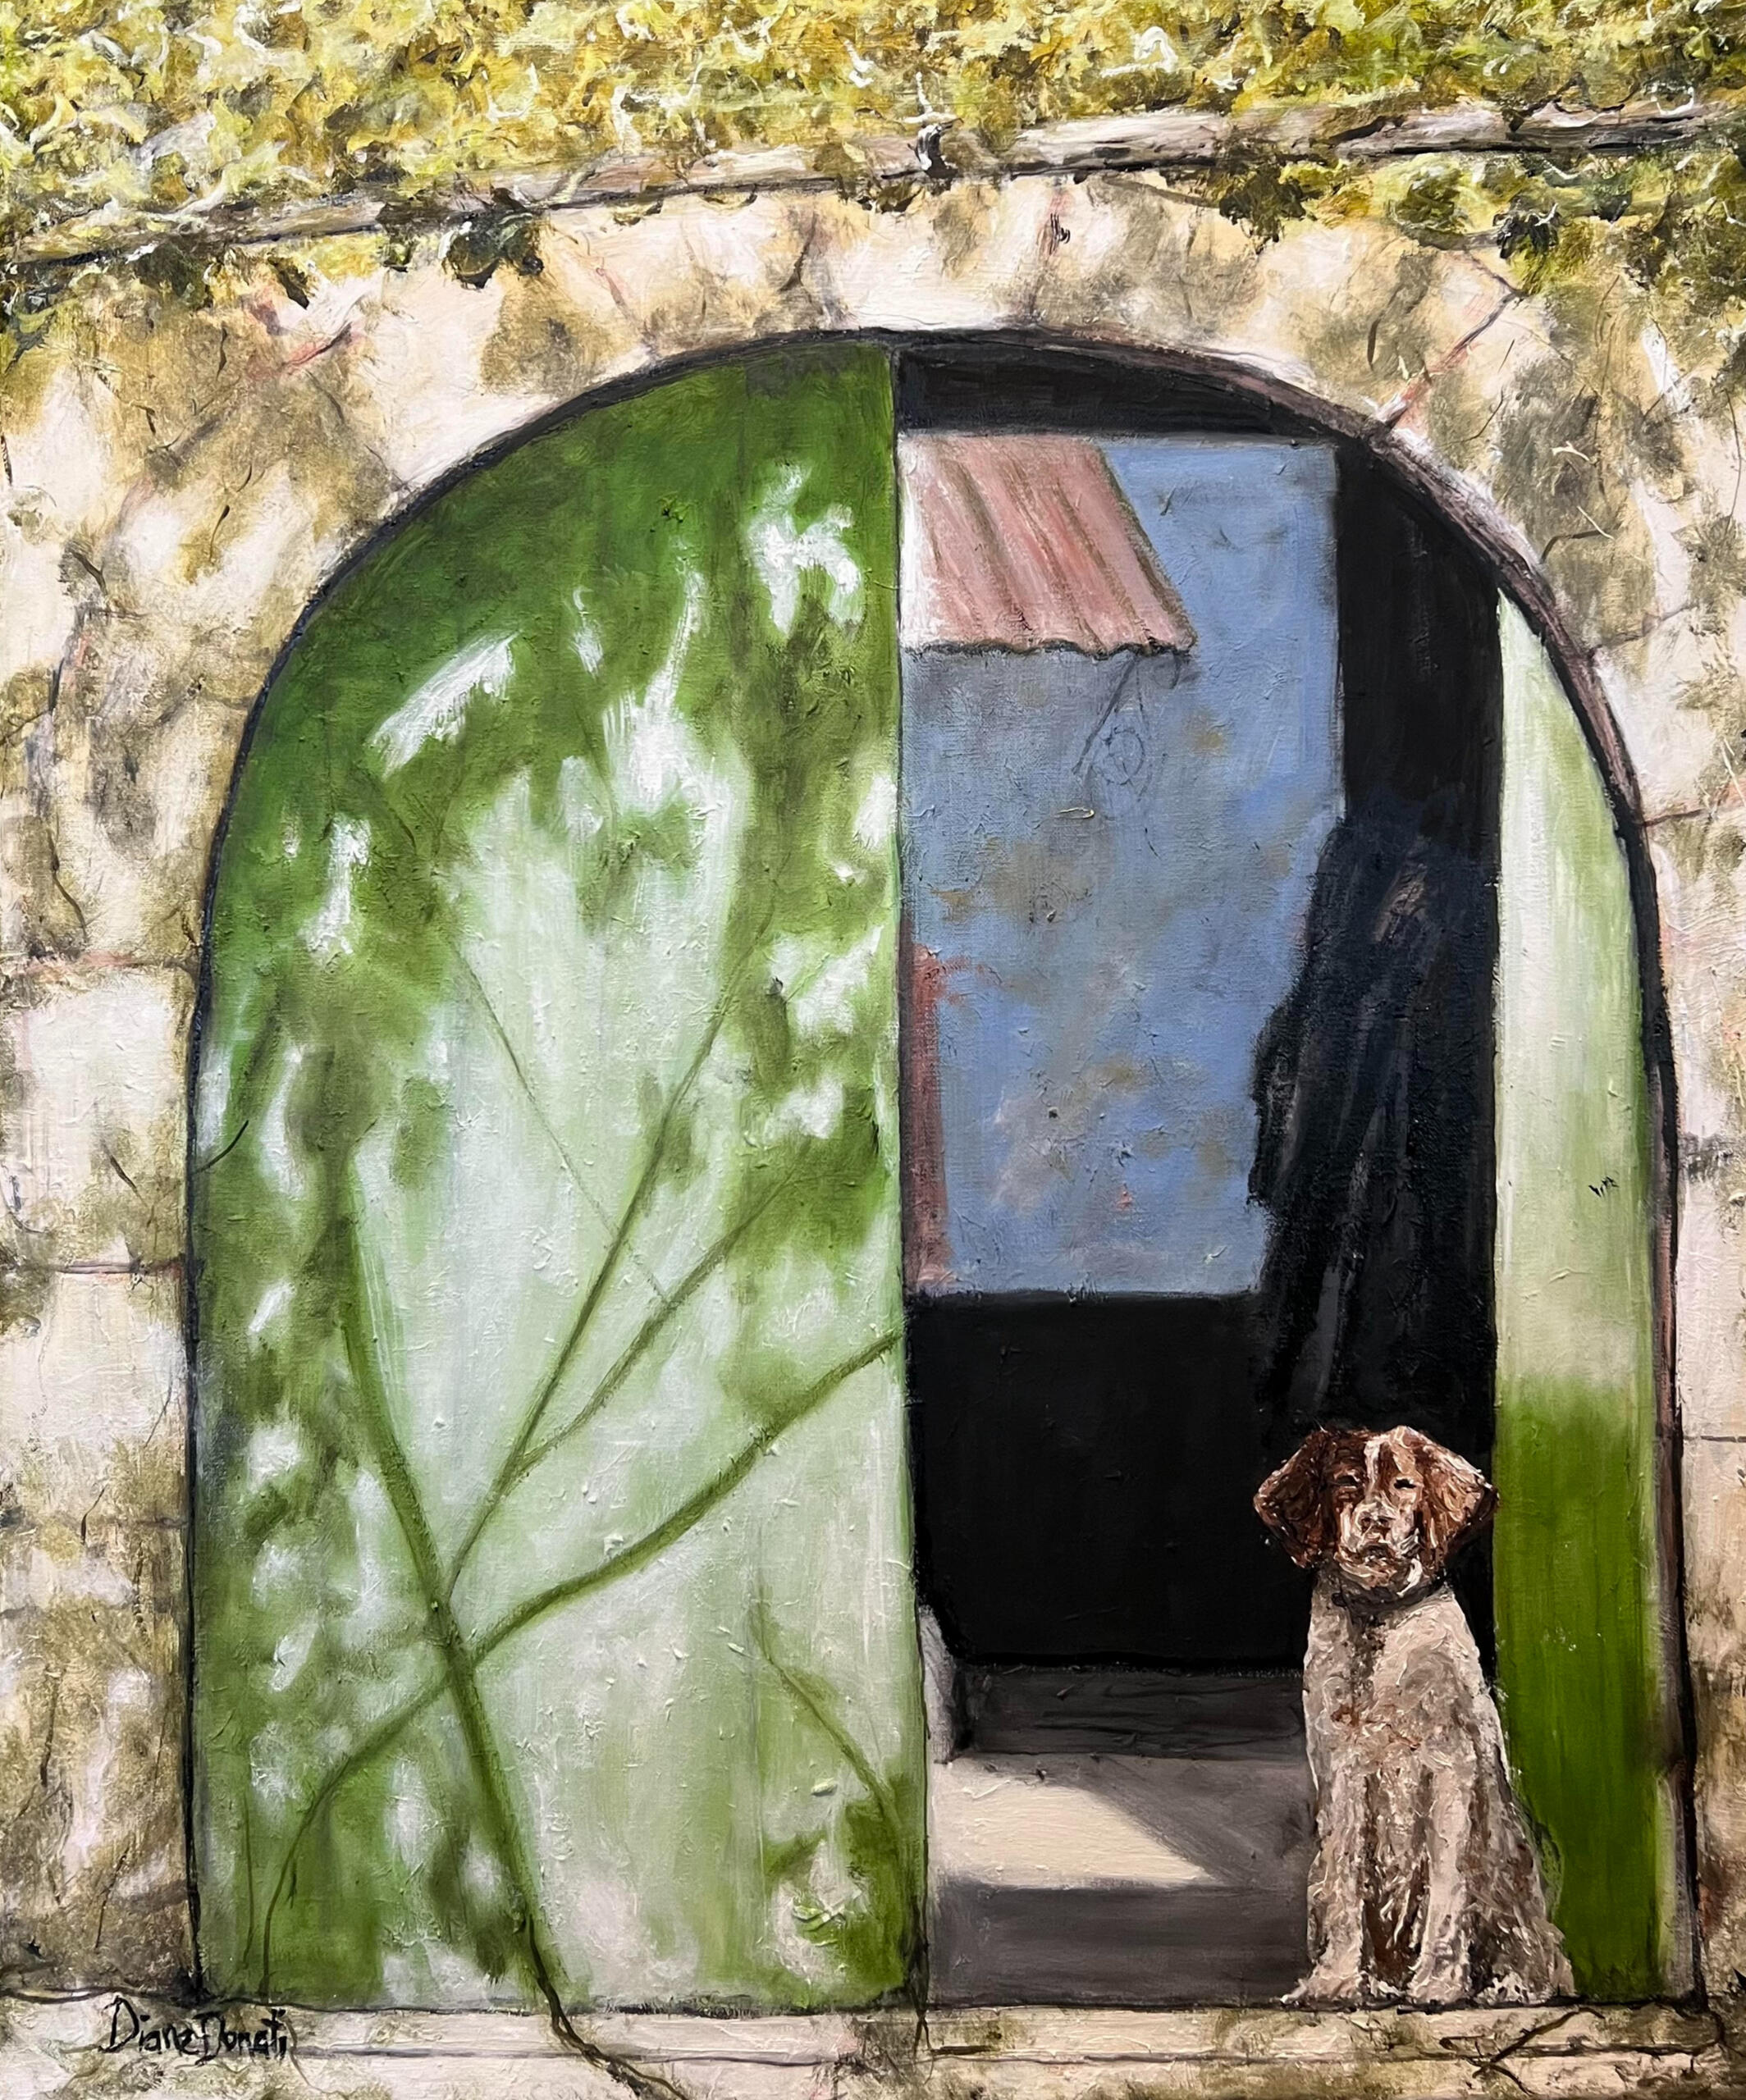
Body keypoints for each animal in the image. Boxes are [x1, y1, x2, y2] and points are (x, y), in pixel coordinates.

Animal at [1255, 1426, 1572, 2008]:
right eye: (1346, 1482)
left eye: (1404, 1485)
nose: (1376, 1522)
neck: (1380, 1616)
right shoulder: (1344, 1774)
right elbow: (1347, 1881)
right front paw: (1336, 1980)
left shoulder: (1451, 1770)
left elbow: (1447, 1889)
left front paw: (1440, 1985)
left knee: (1533, 1956)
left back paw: (1505, 1986)